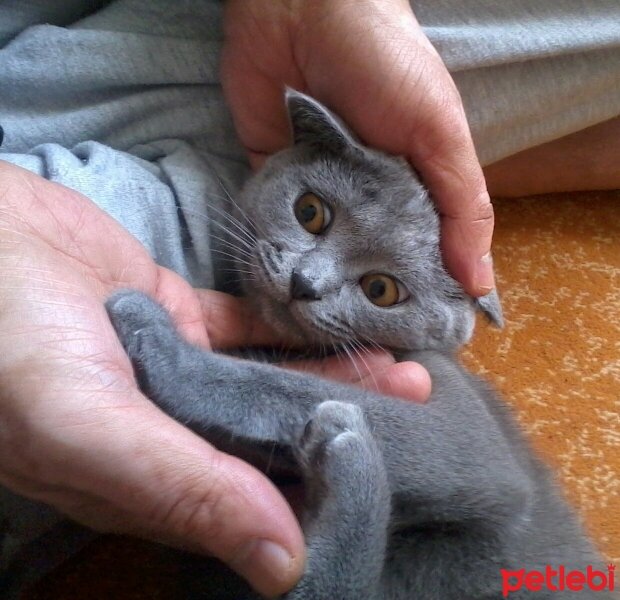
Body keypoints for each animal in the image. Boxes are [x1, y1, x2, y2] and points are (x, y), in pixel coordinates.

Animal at [104, 90, 612, 600]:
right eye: (309, 211)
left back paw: (348, 454)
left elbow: (296, 387)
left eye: (381, 290)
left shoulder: (473, 439)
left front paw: (173, 355)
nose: (304, 283)